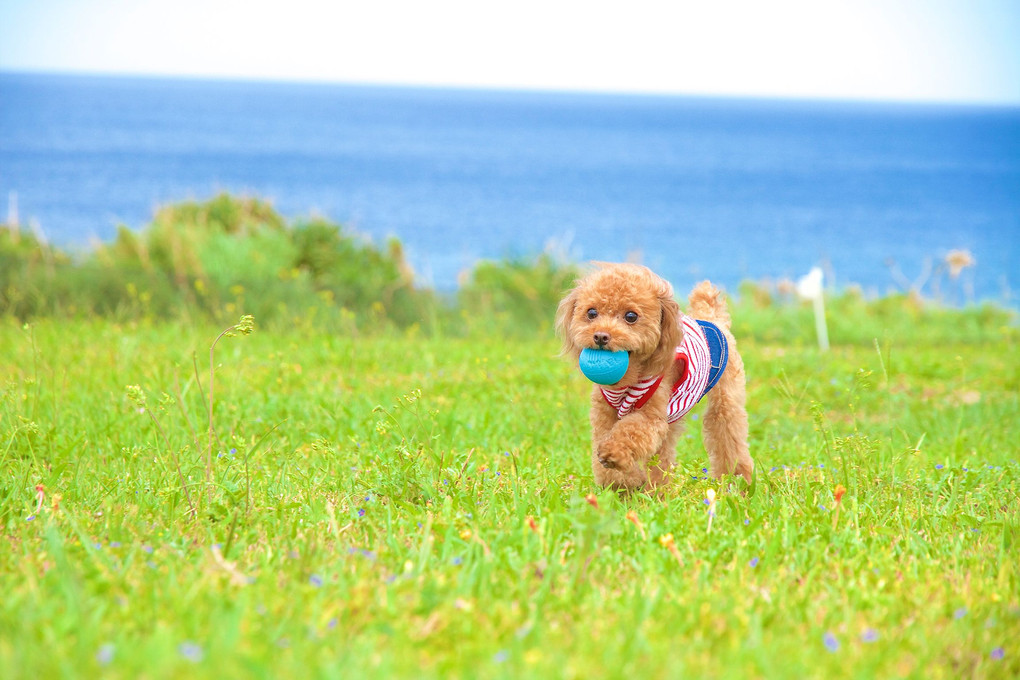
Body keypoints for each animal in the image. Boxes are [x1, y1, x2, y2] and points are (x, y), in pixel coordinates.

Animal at [554, 263, 754, 491]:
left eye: (631, 316)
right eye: (592, 312)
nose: (601, 336)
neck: (626, 381)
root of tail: (712, 319)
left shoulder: (652, 415)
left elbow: (631, 432)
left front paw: (613, 455)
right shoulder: (603, 414)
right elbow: (603, 443)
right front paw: (624, 482)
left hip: (725, 397)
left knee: (725, 431)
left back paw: (736, 481)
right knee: (664, 454)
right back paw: (659, 489)